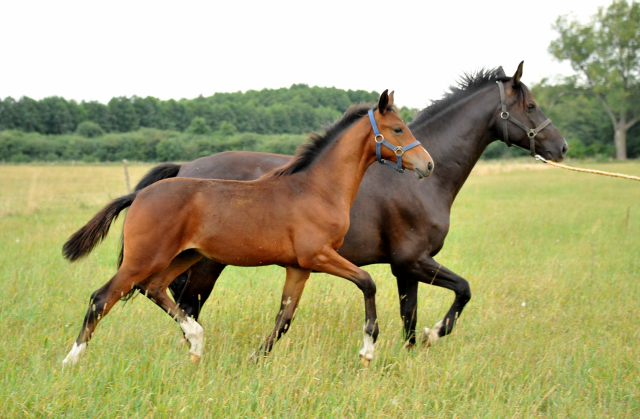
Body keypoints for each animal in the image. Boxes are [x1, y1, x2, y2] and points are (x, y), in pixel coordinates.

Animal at [132, 64, 568, 350]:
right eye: (530, 105)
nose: (561, 147)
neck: (419, 181)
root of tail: (186, 169)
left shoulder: (404, 268)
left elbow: (409, 318)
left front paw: (408, 354)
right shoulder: (413, 260)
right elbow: (462, 291)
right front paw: (434, 334)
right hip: (207, 265)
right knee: (185, 303)